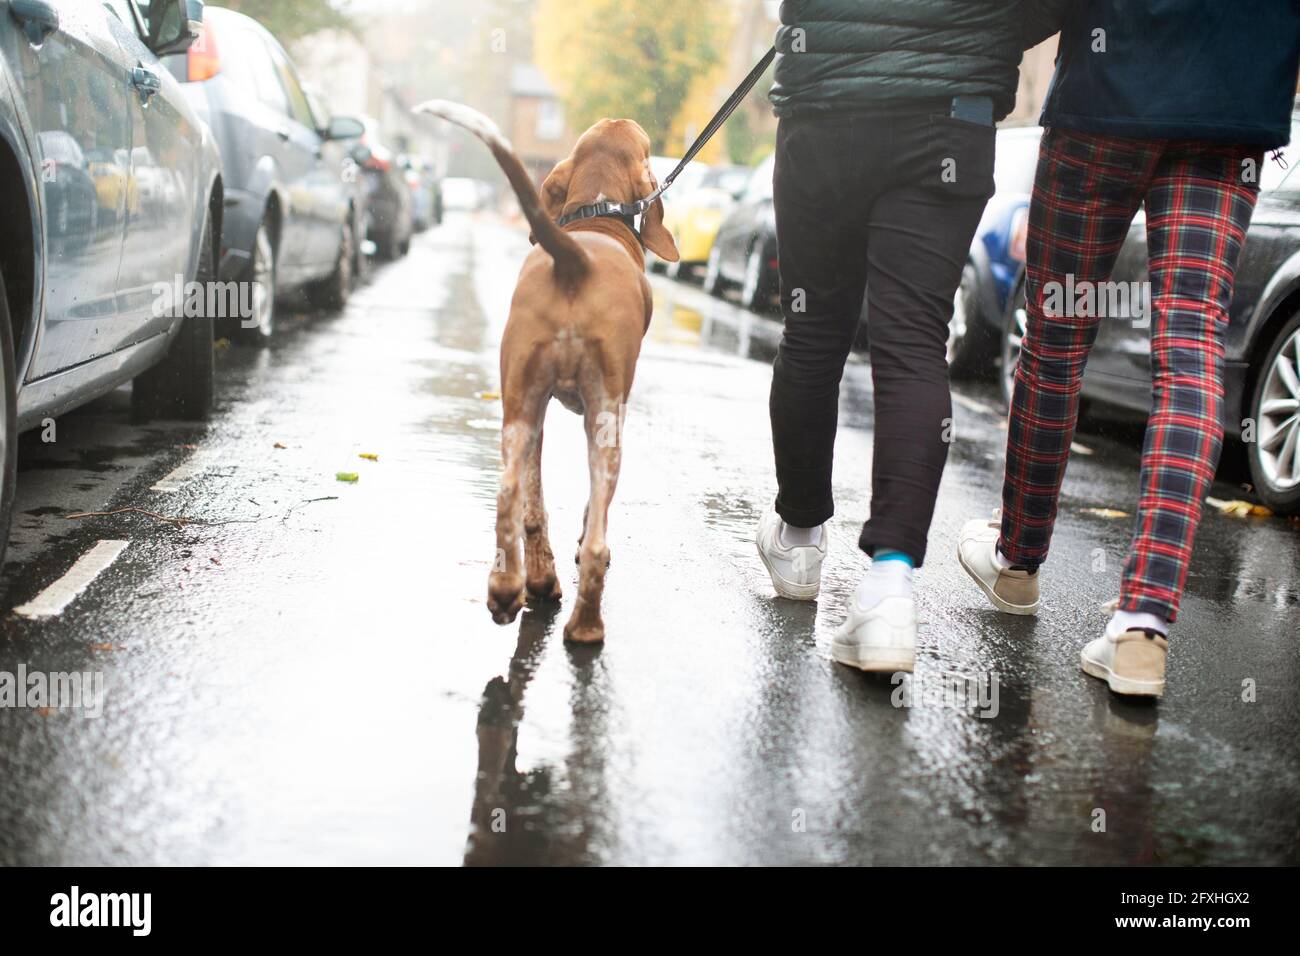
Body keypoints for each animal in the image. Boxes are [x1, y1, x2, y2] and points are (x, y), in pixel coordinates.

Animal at [413, 100, 681, 642]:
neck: (596, 220)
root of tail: (575, 262)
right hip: (603, 422)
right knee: (594, 540)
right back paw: (584, 626)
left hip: (522, 408)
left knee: (513, 498)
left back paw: (515, 590)